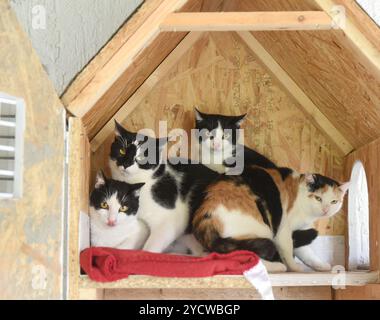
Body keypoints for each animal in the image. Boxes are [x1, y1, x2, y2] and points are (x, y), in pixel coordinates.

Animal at [191, 165, 348, 272]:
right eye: (318, 198)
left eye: (334, 201)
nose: (326, 210)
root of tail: (204, 215)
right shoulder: (284, 229)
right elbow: (288, 249)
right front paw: (294, 268)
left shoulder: (299, 231)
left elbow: (306, 251)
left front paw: (320, 265)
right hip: (262, 229)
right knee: (249, 257)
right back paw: (278, 266)